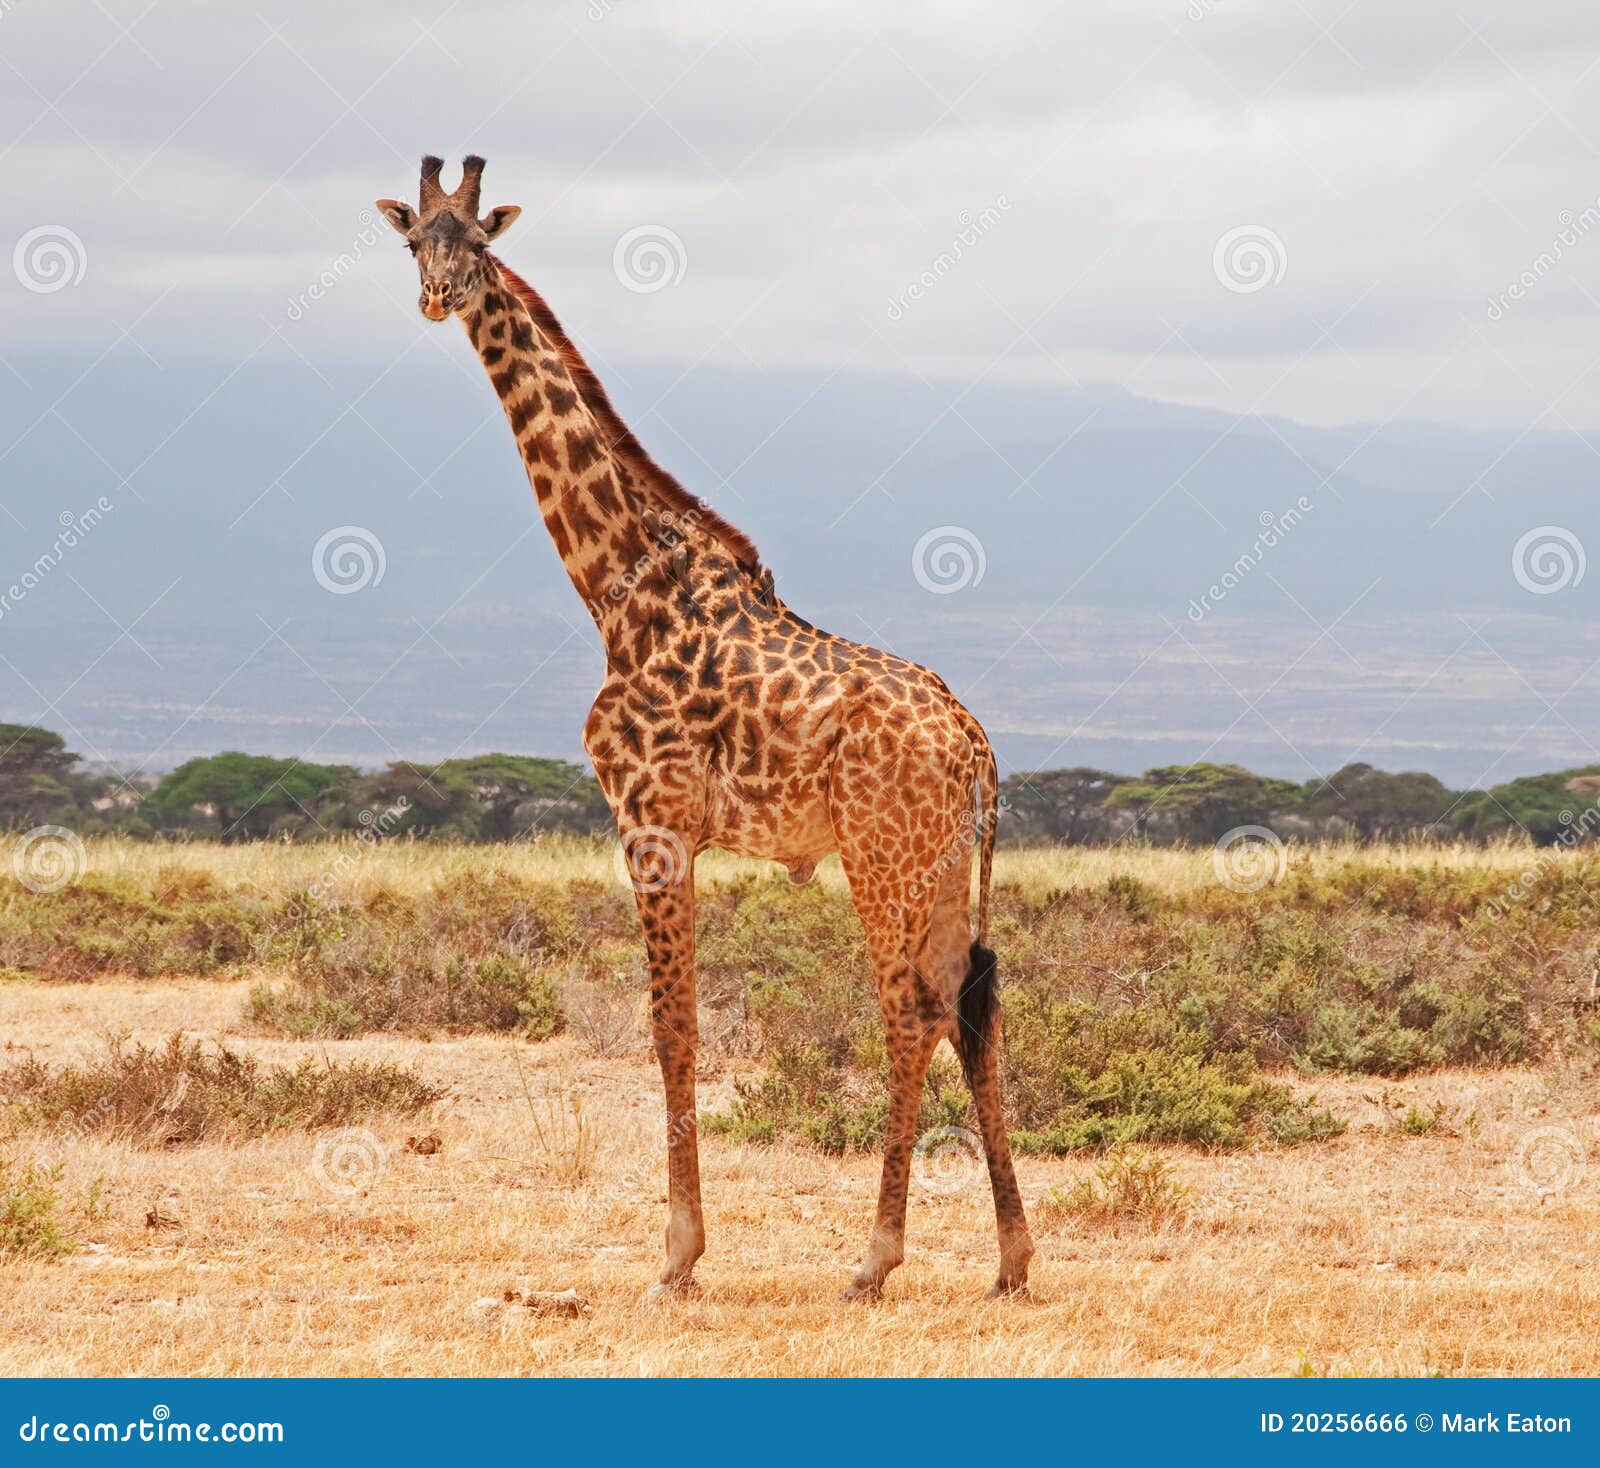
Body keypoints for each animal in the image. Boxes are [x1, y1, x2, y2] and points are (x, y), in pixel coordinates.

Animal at [372, 155, 1024, 1304]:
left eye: (479, 243)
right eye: (416, 241)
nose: (438, 297)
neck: (616, 586)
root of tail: (976, 742)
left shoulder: (652, 819)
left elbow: (672, 1032)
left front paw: (676, 1256)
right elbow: (678, 1028)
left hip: (882, 856)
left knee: (910, 1008)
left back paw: (873, 1258)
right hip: (944, 862)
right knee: (974, 997)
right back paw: (1011, 1259)